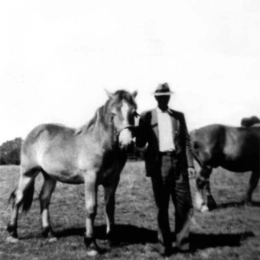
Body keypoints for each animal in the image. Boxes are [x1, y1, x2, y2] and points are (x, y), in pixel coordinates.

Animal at [6, 89, 138, 256]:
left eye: (134, 113)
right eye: (113, 114)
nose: (126, 144)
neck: (100, 143)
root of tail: (33, 133)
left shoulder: (113, 180)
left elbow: (110, 208)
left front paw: (112, 239)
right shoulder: (91, 179)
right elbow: (91, 208)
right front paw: (91, 244)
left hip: (50, 176)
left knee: (44, 198)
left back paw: (49, 234)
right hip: (28, 173)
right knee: (17, 198)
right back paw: (13, 234)